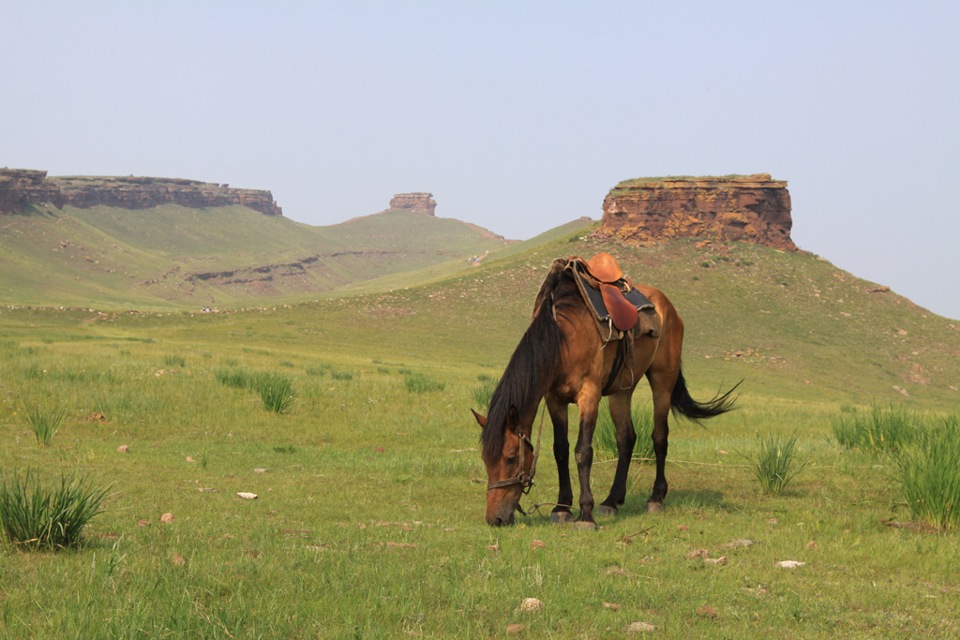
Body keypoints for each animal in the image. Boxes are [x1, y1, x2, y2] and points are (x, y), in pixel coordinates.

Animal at [476, 254, 740, 524]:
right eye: (485, 459)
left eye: (510, 458)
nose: (495, 519)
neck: (563, 338)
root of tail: (668, 307)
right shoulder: (554, 399)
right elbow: (561, 449)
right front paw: (562, 507)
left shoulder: (589, 396)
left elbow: (583, 451)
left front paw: (585, 514)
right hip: (621, 391)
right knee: (626, 438)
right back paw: (612, 500)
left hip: (662, 382)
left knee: (659, 437)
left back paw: (656, 498)